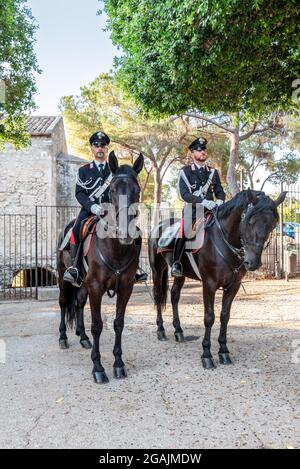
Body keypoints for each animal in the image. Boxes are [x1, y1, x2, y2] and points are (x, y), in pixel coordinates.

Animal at [58, 152, 145, 382]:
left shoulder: (125, 287)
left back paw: (82, 337)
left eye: (137, 190)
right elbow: (97, 325)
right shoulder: (96, 287)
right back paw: (63, 338)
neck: (115, 248)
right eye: (112, 189)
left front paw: (118, 364)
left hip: (83, 284)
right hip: (63, 277)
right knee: (64, 303)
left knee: (79, 303)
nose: (125, 232)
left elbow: (118, 323)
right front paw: (98, 367)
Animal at [149, 188, 288, 368]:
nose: (253, 262)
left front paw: (223, 351)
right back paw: (161, 330)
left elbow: (224, 316)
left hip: (181, 274)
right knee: (158, 296)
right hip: (157, 269)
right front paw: (207, 355)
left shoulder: (234, 285)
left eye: (272, 225)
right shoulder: (209, 284)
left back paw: (178, 331)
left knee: (174, 296)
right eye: (250, 221)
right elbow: (209, 317)